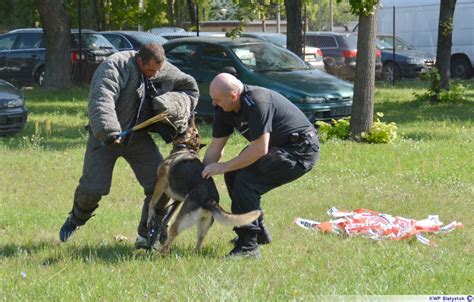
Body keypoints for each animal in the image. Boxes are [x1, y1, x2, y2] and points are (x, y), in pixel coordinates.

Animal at [146, 117, 262, 254]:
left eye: (192, 127)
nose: (192, 115)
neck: (186, 148)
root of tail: (210, 200)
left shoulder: (161, 182)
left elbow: (152, 203)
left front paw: (150, 217)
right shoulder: (178, 200)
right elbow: (167, 217)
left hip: (183, 220)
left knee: (173, 231)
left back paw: (162, 251)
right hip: (203, 226)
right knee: (199, 243)